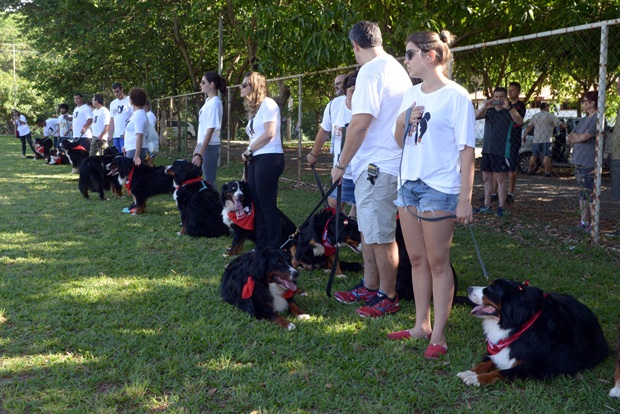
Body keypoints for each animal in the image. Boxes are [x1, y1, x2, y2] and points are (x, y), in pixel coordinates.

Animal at [458, 278, 608, 384]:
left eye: (490, 289)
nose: (468, 288)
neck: (520, 326)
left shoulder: (535, 367)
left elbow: (502, 372)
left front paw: (476, 379)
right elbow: (485, 361)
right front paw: (470, 372)